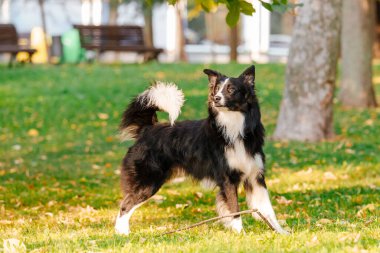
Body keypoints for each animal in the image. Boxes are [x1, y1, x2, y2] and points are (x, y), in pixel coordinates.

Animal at [114, 65, 286, 235]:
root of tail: (147, 129)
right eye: (217, 89)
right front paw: (240, 234)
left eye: (231, 89)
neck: (234, 127)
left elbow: (267, 210)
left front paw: (280, 232)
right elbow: (235, 210)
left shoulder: (255, 176)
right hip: (148, 180)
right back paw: (122, 234)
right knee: (125, 206)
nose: (216, 98)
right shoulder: (228, 179)